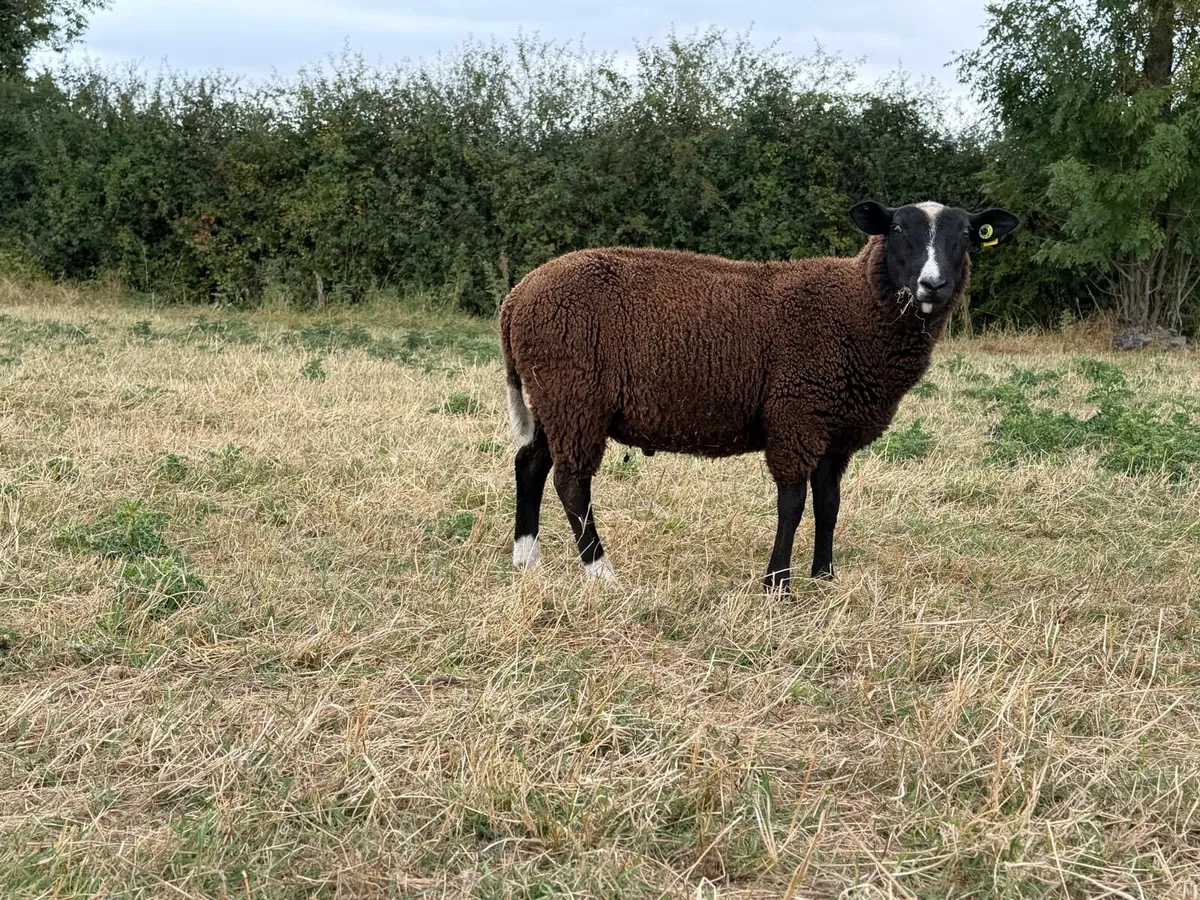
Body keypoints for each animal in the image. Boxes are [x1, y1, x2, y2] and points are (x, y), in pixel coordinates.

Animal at [498, 200, 1020, 591]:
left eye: (967, 234)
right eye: (895, 228)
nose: (933, 285)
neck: (855, 309)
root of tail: (517, 296)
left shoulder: (834, 430)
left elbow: (829, 503)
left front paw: (824, 576)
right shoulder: (796, 415)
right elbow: (792, 504)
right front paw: (777, 584)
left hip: (554, 398)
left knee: (531, 464)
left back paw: (526, 559)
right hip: (575, 394)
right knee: (571, 482)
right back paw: (600, 572)